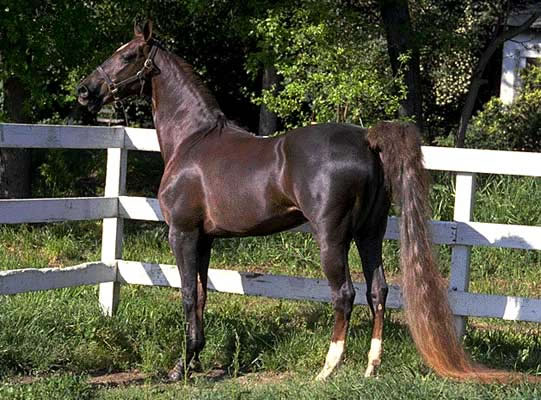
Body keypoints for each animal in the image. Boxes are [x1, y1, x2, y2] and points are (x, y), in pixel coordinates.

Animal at [78, 20, 528, 382]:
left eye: (128, 55)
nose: (85, 91)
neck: (193, 141)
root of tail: (366, 140)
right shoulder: (205, 239)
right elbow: (203, 294)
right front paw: (193, 362)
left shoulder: (183, 234)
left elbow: (188, 293)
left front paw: (180, 369)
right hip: (369, 234)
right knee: (378, 291)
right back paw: (371, 367)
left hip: (331, 239)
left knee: (345, 294)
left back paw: (327, 369)